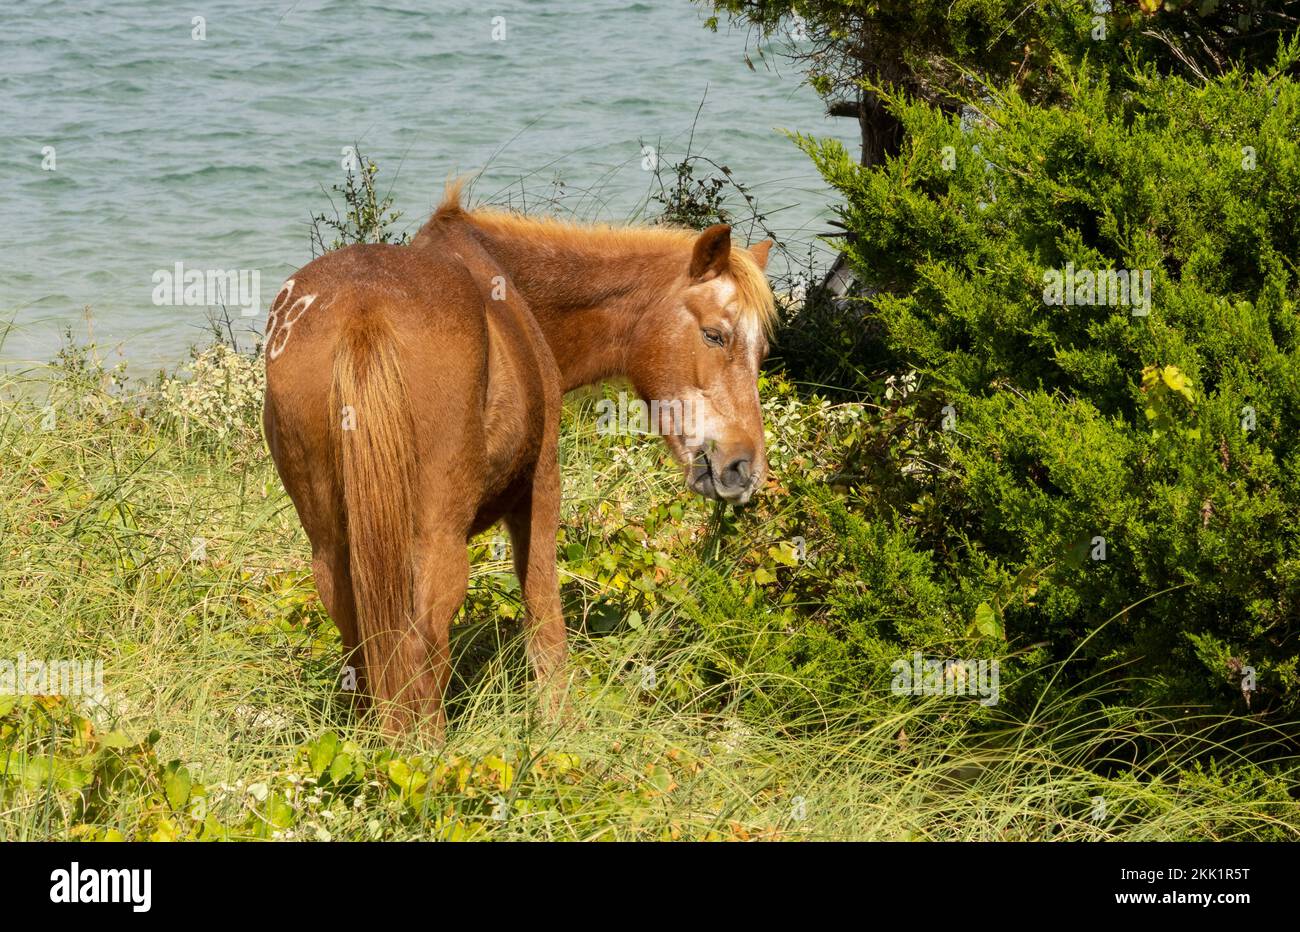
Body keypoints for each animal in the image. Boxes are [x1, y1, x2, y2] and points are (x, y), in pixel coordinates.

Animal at [261, 181, 769, 733]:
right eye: (715, 334)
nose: (743, 468)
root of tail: (364, 308)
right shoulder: (541, 485)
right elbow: (545, 619)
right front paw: (558, 725)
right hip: (436, 541)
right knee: (422, 644)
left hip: (333, 546)